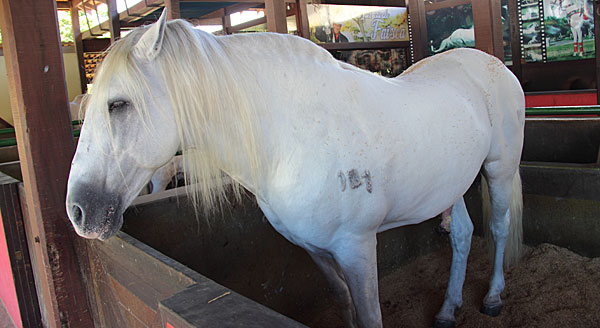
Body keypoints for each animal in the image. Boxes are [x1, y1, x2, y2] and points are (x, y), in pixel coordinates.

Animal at [65, 10, 524, 328]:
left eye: (118, 104)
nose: (78, 211)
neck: (293, 138)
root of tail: (491, 64)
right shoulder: (316, 250)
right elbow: (344, 302)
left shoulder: (358, 247)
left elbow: (370, 315)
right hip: (452, 184)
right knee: (462, 235)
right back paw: (447, 310)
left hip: (498, 170)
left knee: (499, 228)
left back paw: (493, 298)